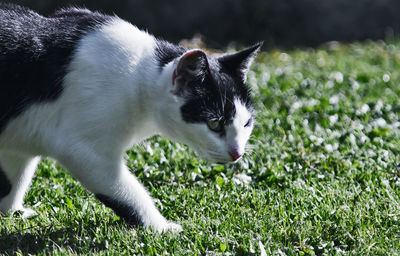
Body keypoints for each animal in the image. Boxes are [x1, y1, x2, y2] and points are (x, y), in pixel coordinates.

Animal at [0, 3, 260, 232]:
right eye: (214, 123)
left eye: (246, 123)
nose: (237, 153)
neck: (138, 74)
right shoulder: (82, 150)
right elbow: (130, 194)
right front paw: (161, 227)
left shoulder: (18, 139)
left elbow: (14, 179)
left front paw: (11, 212)